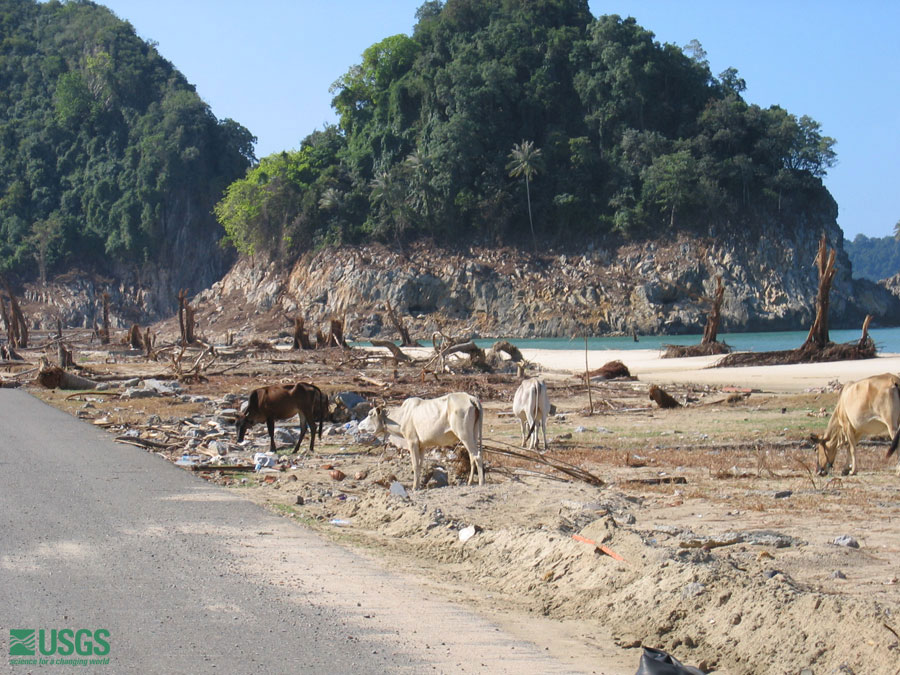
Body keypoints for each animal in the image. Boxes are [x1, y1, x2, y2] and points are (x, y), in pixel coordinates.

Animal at [358, 390, 486, 492]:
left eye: (370, 414)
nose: (359, 426)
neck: (402, 416)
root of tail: (471, 398)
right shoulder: (422, 446)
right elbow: (420, 464)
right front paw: (419, 485)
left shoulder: (412, 442)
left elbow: (415, 465)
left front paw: (415, 487)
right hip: (473, 435)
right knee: (472, 456)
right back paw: (470, 482)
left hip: (464, 435)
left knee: (477, 456)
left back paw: (481, 482)